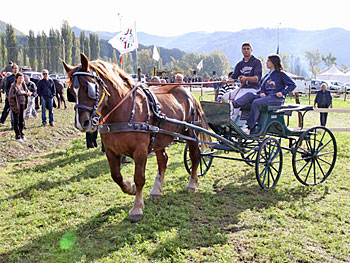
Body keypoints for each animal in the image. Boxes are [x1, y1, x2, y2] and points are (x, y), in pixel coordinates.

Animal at [62, 53, 211, 223]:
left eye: (89, 88)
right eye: (71, 92)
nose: (82, 123)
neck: (123, 110)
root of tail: (188, 93)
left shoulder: (140, 151)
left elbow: (139, 177)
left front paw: (137, 207)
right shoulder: (111, 151)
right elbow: (116, 176)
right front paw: (130, 188)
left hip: (190, 133)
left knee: (194, 156)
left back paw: (192, 184)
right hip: (159, 138)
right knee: (163, 160)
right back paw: (156, 190)